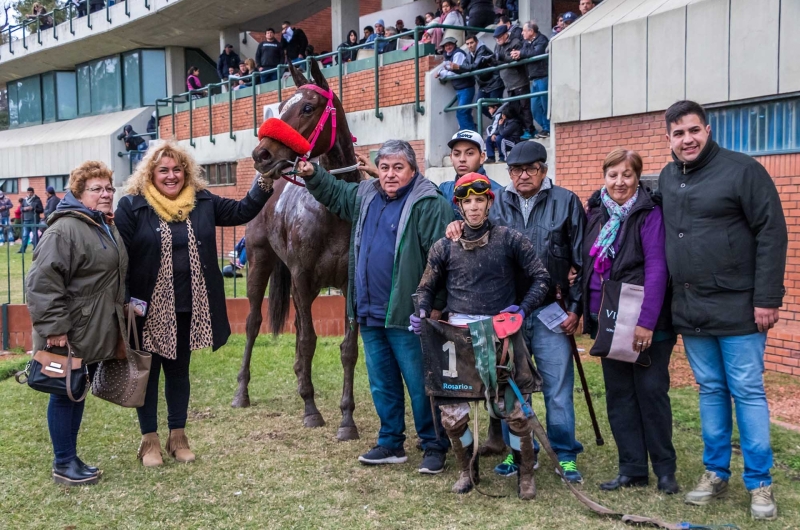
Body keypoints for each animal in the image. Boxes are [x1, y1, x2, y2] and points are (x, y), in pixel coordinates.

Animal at [233, 59, 360, 440]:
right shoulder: (302, 278)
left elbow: (347, 348)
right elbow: (307, 341)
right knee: (253, 323)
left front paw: (347, 419)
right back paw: (242, 392)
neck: (334, 209)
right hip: (259, 262)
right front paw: (311, 410)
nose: (261, 154)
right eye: (282, 105)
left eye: (307, 107)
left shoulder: (349, 283)